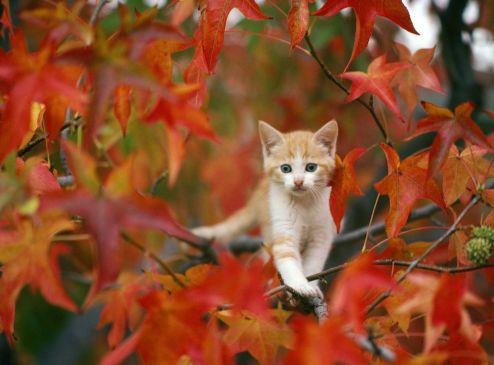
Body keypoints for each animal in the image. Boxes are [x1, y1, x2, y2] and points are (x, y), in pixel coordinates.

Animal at [193, 121, 340, 298]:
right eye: (285, 168)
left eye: (311, 167)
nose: (298, 182)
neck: (304, 202)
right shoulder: (283, 224)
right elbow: (286, 257)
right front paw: (299, 285)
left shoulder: (321, 234)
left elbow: (314, 263)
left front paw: (311, 286)